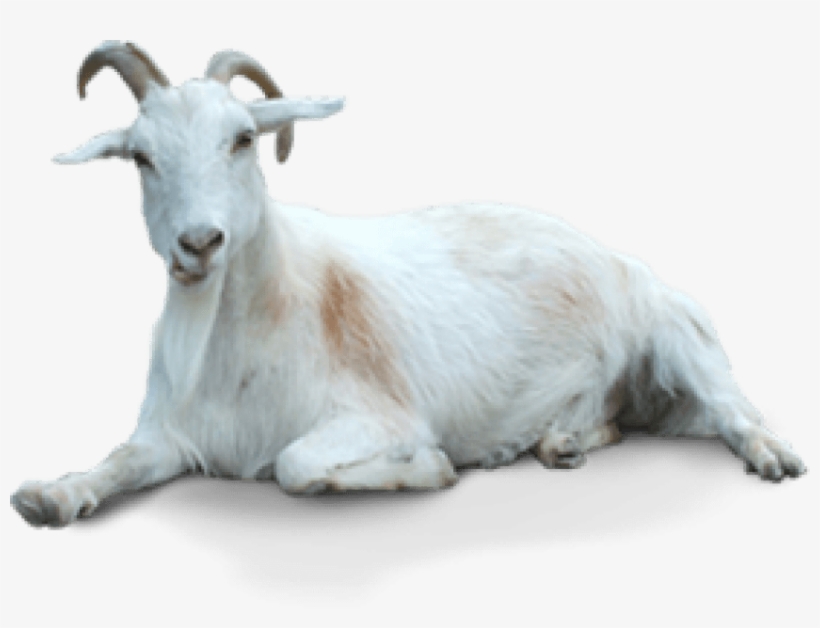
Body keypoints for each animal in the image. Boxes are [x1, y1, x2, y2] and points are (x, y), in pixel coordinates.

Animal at [11, 41, 806, 527]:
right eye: (140, 157)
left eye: (243, 138)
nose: (199, 244)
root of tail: (608, 251)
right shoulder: (169, 437)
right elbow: (118, 460)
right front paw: (50, 495)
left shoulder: (376, 416)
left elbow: (296, 466)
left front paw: (431, 469)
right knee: (611, 420)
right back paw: (556, 443)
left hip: (680, 336)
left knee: (735, 411)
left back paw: (775, 458)